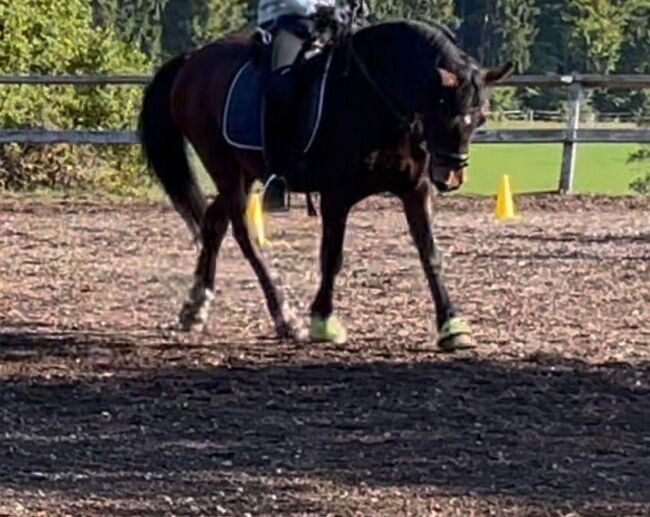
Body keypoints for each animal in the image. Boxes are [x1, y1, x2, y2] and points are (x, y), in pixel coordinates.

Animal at [138, 21, 512, 350]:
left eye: (480, 119)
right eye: (443, 109)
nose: (451, 177)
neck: (375, 96)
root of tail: (193, 59)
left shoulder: (414, 190)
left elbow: (430, 254)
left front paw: (451, 326)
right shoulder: (336, 195)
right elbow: (332, 256)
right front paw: (323, 320)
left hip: (244, 170)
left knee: (214, 222)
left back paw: (196, 309)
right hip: (222, 164)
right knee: (244, 233)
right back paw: (285, 316)